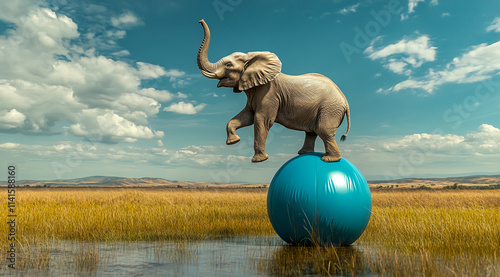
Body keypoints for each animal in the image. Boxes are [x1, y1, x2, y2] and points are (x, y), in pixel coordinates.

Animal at [197, 19, 350, 162]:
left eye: (229, 65)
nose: (200, 21)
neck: (252, 59)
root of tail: (345, 100)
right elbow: (247, 116)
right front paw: (234, 141)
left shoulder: (269, 94)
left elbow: (261, 119)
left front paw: (259, 160)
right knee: (312, 132)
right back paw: (303, 154)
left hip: (330, 108)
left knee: (323, 131)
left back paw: (329, 159)